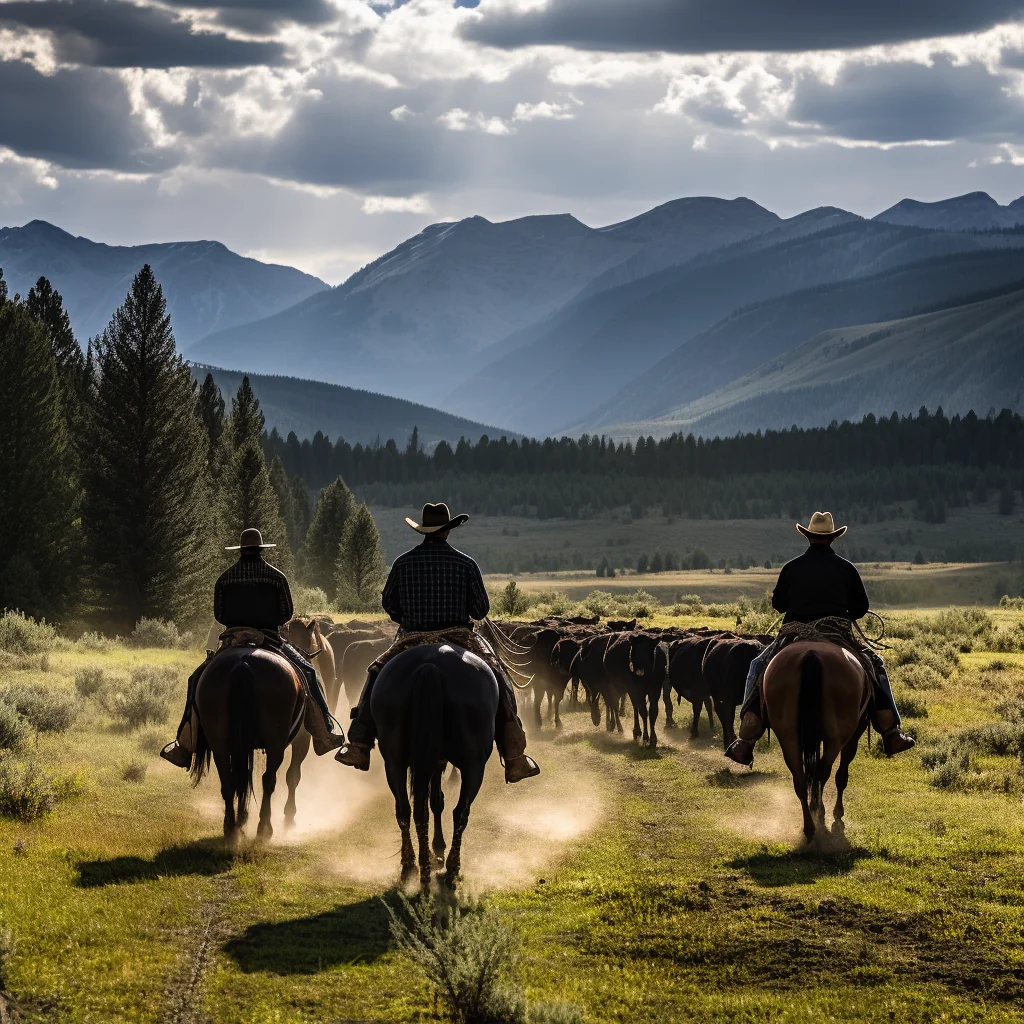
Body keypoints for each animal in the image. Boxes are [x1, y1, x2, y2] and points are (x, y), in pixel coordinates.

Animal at [190, 647, 303, 839]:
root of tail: (244, 663)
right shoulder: (303, 737)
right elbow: (293, 775)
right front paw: (289, 816)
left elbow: (243, 776)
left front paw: (242, 817)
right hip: (275, 744)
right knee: (268, 780)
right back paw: (264, 828)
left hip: (220, 744)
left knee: (229, 781)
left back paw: (231, 828)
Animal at [372, 638, 499, 888]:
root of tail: (430, 666)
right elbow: (439, 802)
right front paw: (439, 849)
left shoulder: (432, 761)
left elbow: (434, 802)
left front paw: (434, 849)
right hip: (474, 765)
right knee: (460, 813)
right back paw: (450, 868)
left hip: (394, 761)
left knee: (406, 810)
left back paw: (412, 866)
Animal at [765, 638, 868, 839]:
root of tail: (811, 654)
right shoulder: (853, 738)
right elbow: (841, 775)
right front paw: (837, 813)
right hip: (835, 738)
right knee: (823, 771)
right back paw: (819, 814)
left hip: (789, 737)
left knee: (801, 778)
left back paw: (809, 825)